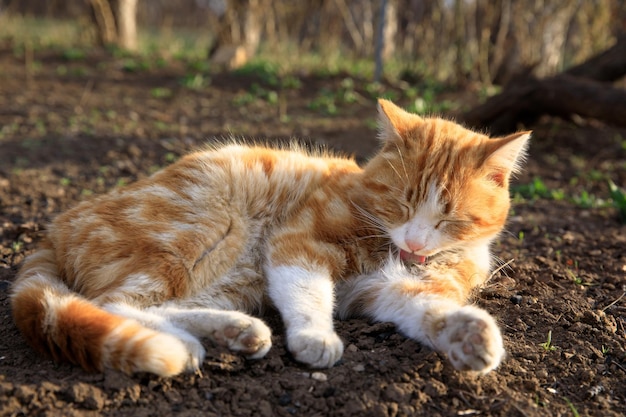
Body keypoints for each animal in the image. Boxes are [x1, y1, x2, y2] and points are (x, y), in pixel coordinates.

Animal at [9, 99, 528, 376]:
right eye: (402, 203)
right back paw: (184, 344)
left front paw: (466, 334)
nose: (417, 244)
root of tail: (59, 224)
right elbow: (308, 294)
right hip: (206, 229)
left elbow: (425, 309)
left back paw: (231, 331)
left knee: (151, 305)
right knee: (112, 302)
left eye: (450, 219)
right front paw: (316, 336)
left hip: (231, 278)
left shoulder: (382, 290)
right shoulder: (297, 244)